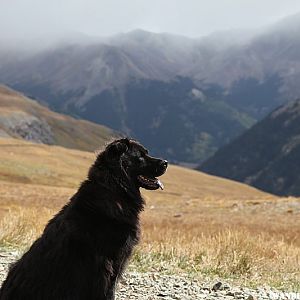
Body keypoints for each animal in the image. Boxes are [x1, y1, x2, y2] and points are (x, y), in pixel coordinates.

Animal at [0, 138, 166, 300]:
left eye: (146, 153)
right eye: (141, 156)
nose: (165, 162)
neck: (113, 190)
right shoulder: (107, 260)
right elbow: (107, 290)